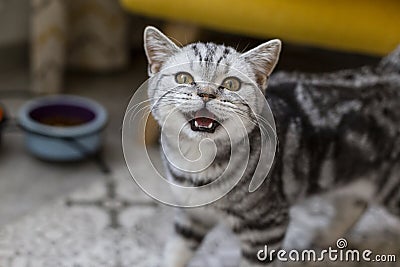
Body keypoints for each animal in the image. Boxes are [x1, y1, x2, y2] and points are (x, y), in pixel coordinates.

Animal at [142, 25, 398, 267]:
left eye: (231, 84)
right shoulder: (192, 216)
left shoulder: (266, 228)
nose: (206, 93)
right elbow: (175, 252)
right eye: (183, 78)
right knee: (355, 204)